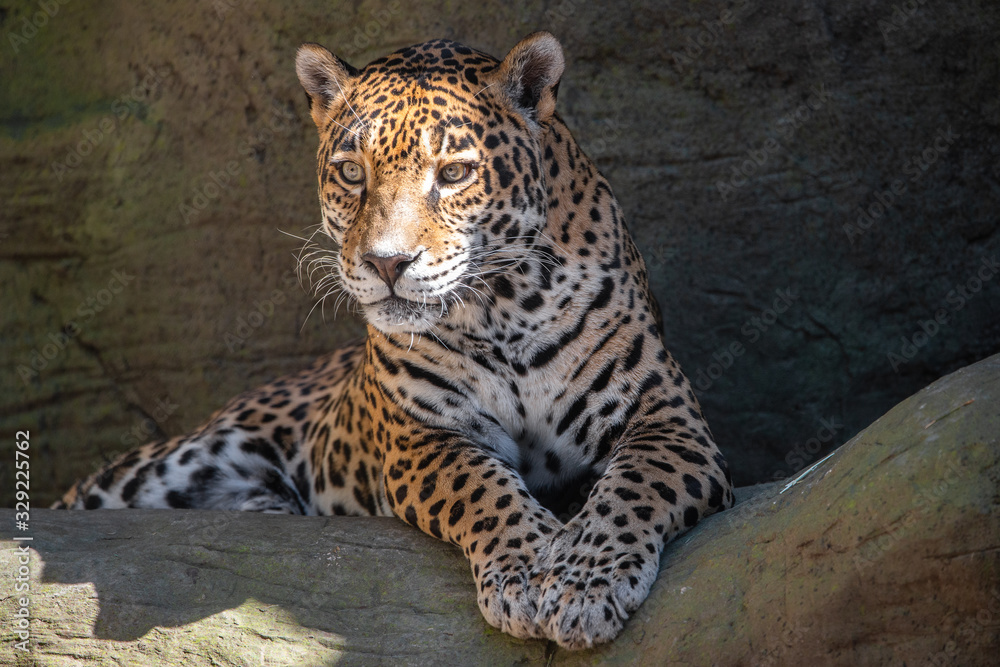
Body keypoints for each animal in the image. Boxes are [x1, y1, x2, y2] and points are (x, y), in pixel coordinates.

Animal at [53, 32, 735, 649]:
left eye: (454, 173)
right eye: (352, 173)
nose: (387, 263)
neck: (507, 310)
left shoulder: (669, 421)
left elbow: (633, 489)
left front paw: (582, 584)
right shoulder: (422, 440)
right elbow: (484, 492)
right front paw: (523, 575)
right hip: (166, 465)